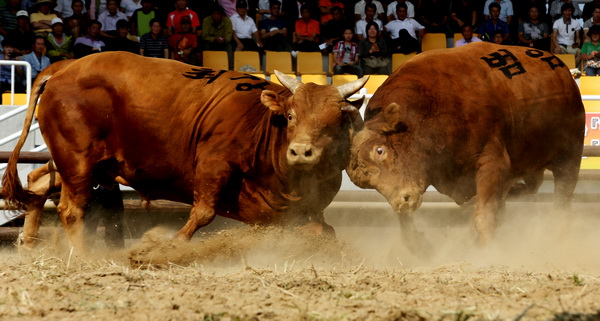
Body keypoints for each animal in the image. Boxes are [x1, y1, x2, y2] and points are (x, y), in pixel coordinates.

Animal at [1, 52, 370, 252]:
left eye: (336, 118)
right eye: (291, 115)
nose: (301, 151)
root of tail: (65, 67)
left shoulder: (302, 212)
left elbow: (324, 231)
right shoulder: (213, 164)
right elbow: (202, 212)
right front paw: (172, 244)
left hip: (78, 161)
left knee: (38, 181)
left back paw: (29, 242)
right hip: (77, 159)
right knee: (71, 209)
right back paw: (82, 255)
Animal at [346, 42, 584, 252]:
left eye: (380, 151)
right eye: (367, 183)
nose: (402, 202)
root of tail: (563, 71)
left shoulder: (492, 161)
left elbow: (485, 217)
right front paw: (420, 245)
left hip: (569, 156)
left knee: (562, 199)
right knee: (528, 186)